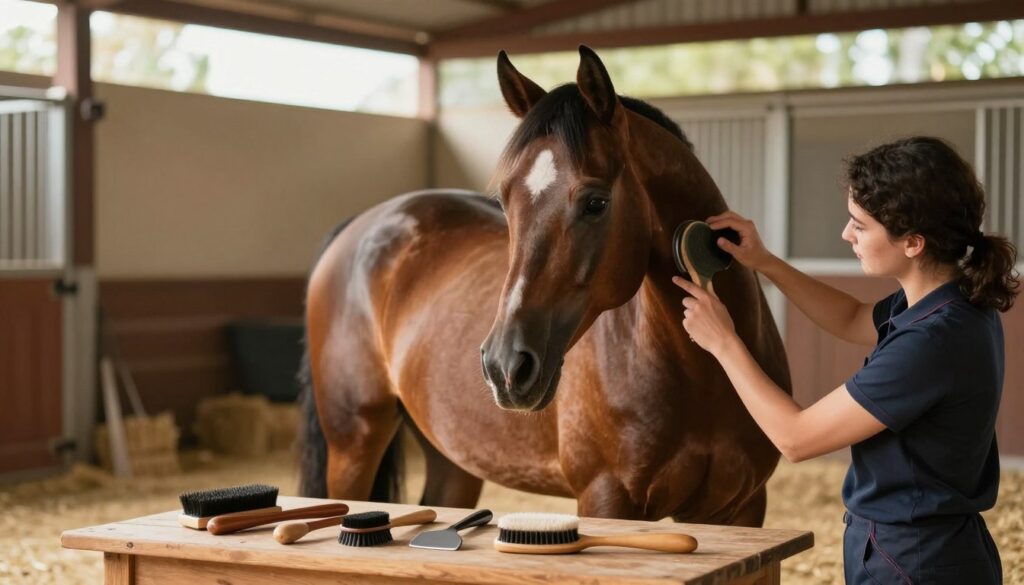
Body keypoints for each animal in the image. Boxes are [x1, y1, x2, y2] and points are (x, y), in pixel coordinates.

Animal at [299, 46, 791, 526]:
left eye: (596, 202)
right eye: (504, 201)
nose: (504, 366)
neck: (704, 373)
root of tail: (359, 226)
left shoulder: (741, 508)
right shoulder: (606, 499)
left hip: (453, 457)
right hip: (354, 444)